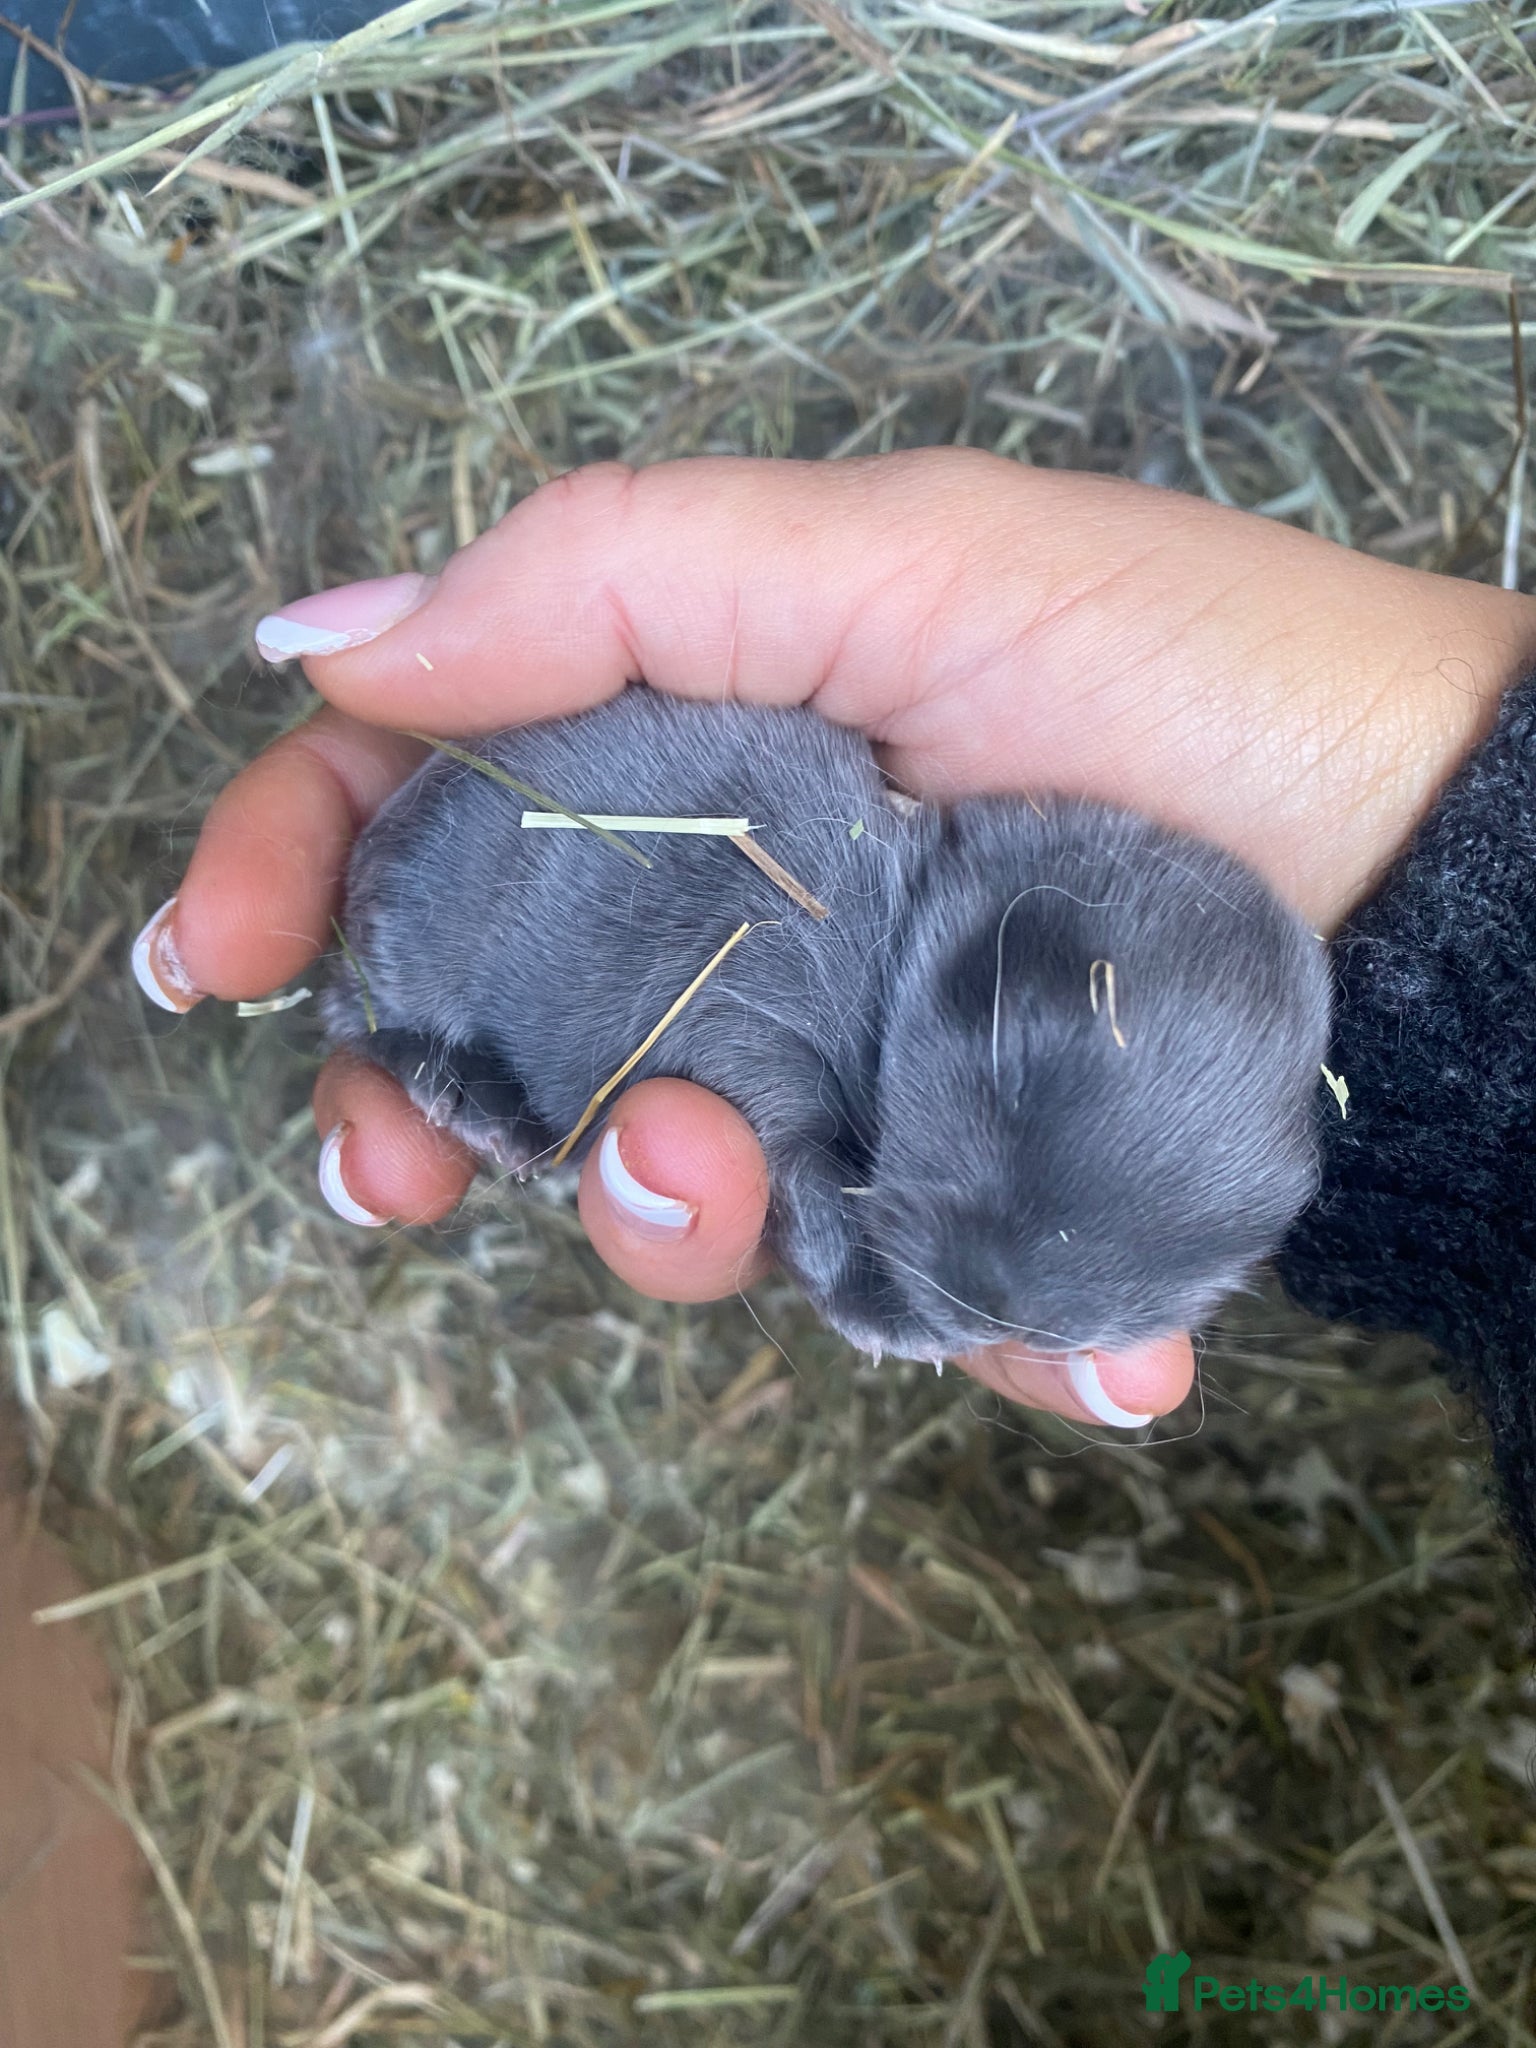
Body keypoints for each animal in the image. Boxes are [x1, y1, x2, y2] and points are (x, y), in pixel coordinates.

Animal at [323, 684, 1333, 1365]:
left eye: (1217, 1250)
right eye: (1013, 1073)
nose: (990, 1314)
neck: (898, 939)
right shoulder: (757, 1024)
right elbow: (799, 1161)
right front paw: (877, 1317)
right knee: (363, 1022)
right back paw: (477, 1105)